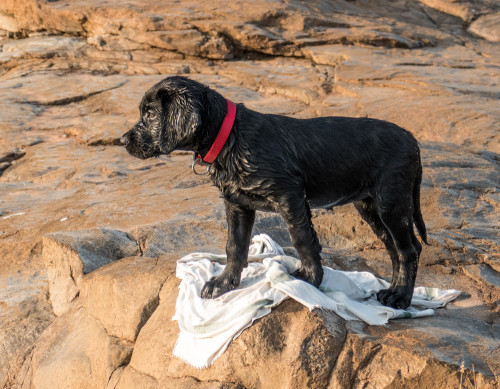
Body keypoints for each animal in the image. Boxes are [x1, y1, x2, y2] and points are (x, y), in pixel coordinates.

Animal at [121, 76, 426, 308]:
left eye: (150, 114)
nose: (122, 140)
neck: (231, 139)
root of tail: (413, 141)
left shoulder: (290, 195)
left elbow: (302, 238)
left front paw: (309, 278)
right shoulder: (237, 204)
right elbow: (235, 245)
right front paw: (224, 283)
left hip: (391, 202)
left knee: (409, 249)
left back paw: (400, 298)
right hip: (370, 206)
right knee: (395, 248)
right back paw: (391, 291)